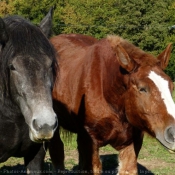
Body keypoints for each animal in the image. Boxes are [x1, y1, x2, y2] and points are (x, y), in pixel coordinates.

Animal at [49, 33, 175, 174]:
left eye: (171, 86)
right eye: (142, 88)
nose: (173, 134)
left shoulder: (132, 143)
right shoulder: (89, 141)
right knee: (57, 152)